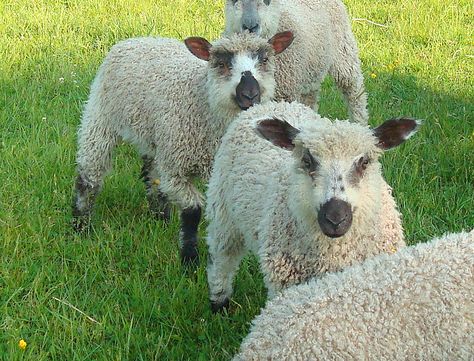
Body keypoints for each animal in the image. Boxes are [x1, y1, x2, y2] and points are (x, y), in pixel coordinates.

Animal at [71, 30, 294, 264]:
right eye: (221, 64)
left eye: (265, 60)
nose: (250, 95)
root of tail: (138, 39)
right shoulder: (176, 170)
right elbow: (192, 211)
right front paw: (189, 258)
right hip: (101, 115)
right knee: (89, 174)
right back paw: (81, 225)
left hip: (156, 138)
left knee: (151, 175)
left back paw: (160, 217)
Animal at [206, 100, 420, 310]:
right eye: (307, 161)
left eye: (365, 162)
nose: (335, 218)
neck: (335, 255)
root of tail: (271, 103)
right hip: (222, 211)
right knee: (222, 258)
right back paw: (219, 303)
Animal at [224, 0, 368, 124]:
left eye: (267, 1)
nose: (250, 26)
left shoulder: (285, 95)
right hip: (312, 68)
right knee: (311, 98)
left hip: (344, 51)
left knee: (354, 92)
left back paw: (360, 124)